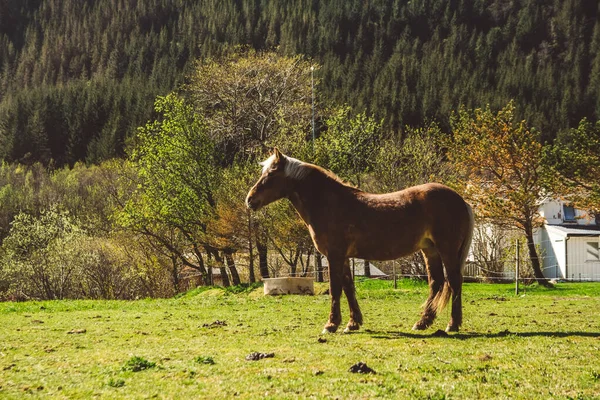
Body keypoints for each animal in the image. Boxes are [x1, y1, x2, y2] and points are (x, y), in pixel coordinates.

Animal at [244, 148, 474, 332]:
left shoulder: (335, 256)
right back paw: (422, 323)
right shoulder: (343, 257)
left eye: (271, 174)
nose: (250, 200)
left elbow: (335, 288)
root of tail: (460, 200)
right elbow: (348, 287)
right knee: (436, 283)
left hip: (447, 250)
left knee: (454, 281)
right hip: (430, 250)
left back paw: (452, 325)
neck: (329, 203)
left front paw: (331, 325)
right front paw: (352, 323)